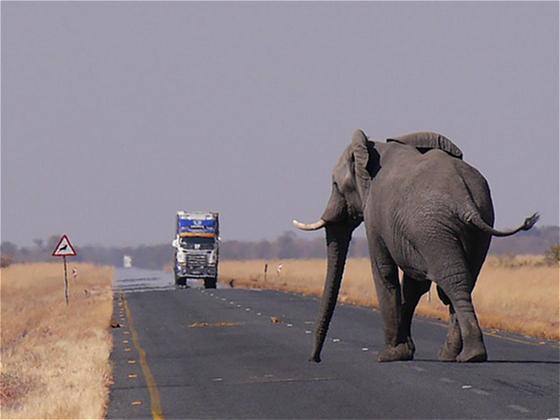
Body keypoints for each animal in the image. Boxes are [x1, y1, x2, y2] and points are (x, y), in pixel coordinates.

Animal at [294, 130, 540, 362]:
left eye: (335, 185)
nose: (315, 359)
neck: (372, 149)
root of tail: (465, 201)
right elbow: (413, 286)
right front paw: (404, 351)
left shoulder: (375, 216)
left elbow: (385, 273)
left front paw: (389, 355)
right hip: (476, 221)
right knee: (463, 281)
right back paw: (455, 356)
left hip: (432, 228)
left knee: (451, 281)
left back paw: (469, 355)